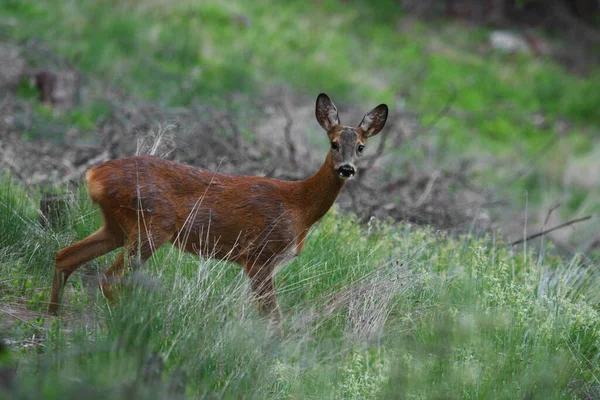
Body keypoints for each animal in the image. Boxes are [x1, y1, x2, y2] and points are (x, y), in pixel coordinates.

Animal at [50, 94, 390, 322]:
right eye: (334, 143)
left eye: (361, 147)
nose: (346, 169)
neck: (300, 207)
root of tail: (94, 176)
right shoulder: (259, 256)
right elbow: (273, 318)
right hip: (151, 226)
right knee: (109, 277)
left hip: (118, 225)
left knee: (66, 255)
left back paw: (52, 316)